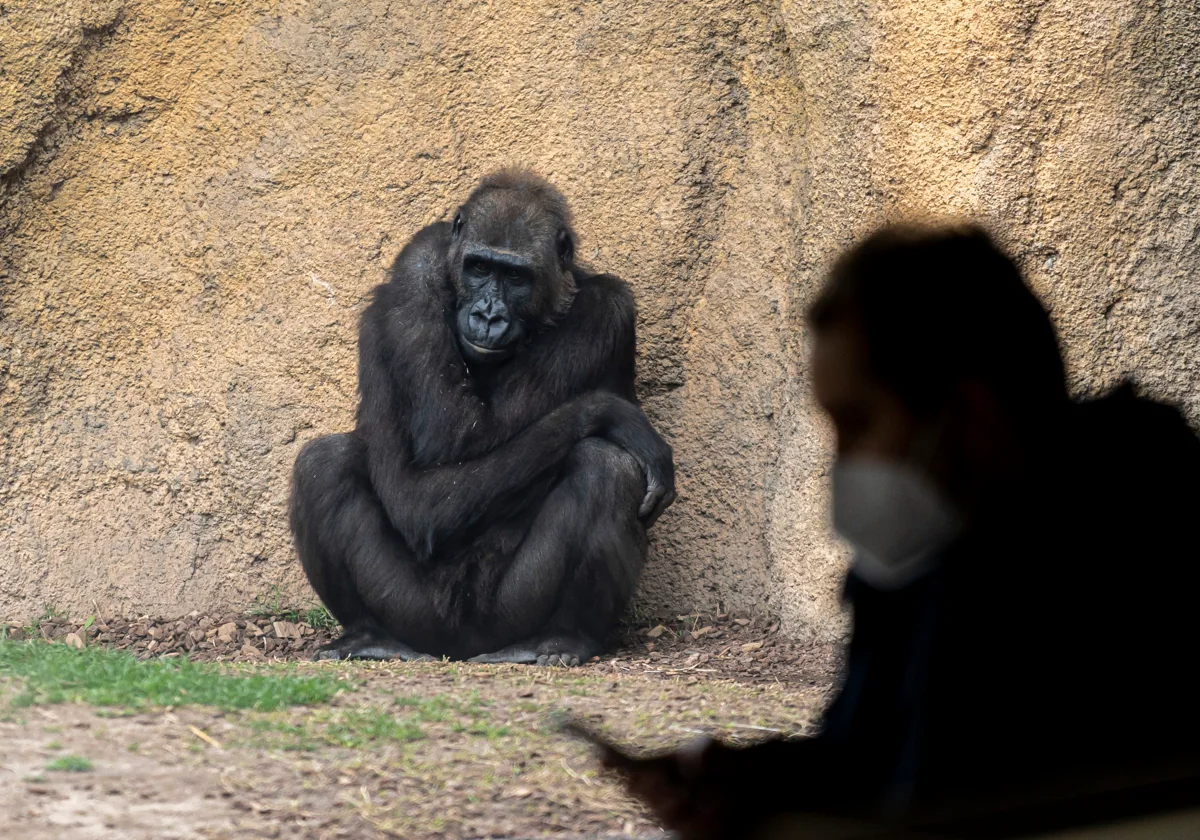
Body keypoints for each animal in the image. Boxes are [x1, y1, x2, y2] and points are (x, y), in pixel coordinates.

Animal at [288, 170, 676, 667]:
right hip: (415, 616)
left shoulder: (608, 309)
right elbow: (446, 444)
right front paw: (611, 413)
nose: (488, 316)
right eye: (478, 268)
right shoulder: (419, 261)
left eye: (514, 277)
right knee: (323, 464)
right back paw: (368, 635)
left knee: (606, 467)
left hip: (507, 617)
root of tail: (459, 651)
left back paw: (566, 637)